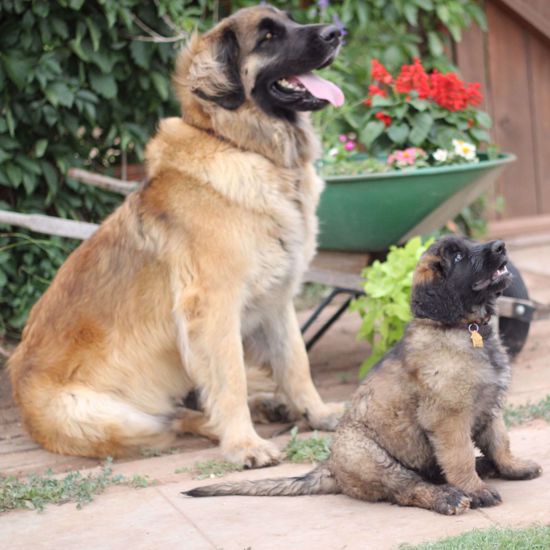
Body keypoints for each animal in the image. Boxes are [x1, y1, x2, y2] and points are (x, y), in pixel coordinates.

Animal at [7, 5, 344, 470]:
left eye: (291, 20)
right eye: (267, 36)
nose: (337, 32)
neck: (243, 147)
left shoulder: (277, 300)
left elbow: (297, 362)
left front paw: (319, 414)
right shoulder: (213, 306)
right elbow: (231, 380)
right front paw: (245, 445)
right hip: (106, 417)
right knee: (173, 419)